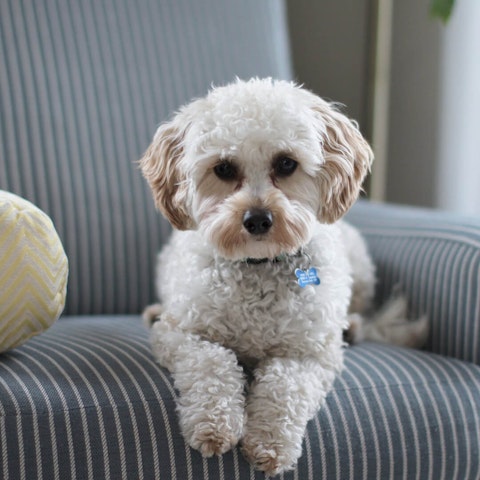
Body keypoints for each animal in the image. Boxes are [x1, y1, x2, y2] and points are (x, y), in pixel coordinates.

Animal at [139, 79, 428, 476]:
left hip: (359, 265)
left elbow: (284, 386)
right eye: (224, 169)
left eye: (287, 163)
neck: (258, 265)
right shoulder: (181, 334)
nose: (258, 219)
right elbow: (212, 362)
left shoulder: (308, 354)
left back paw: (352, 327)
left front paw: (270, 443)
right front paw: (214, 424)